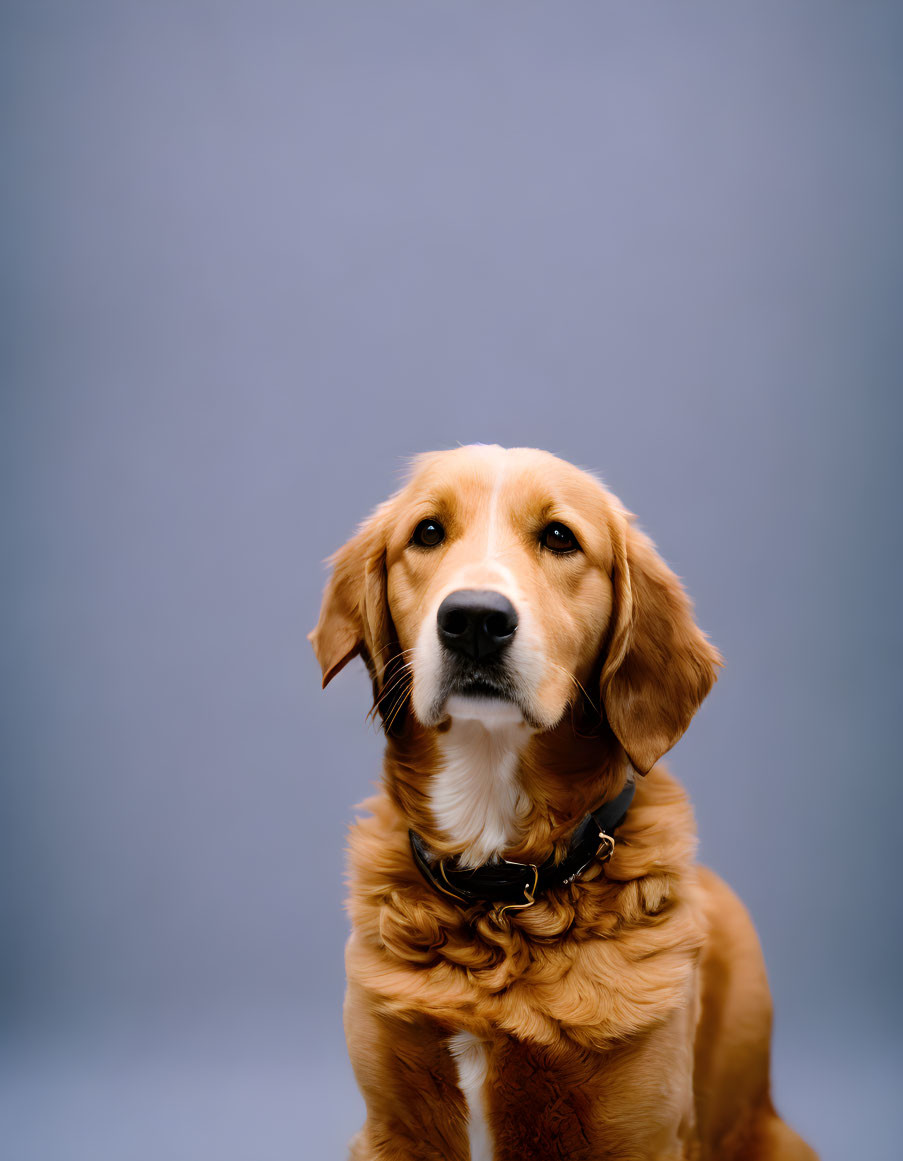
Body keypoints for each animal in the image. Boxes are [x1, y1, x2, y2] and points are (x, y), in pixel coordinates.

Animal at [308, 443, 817, 1161]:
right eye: (427, 532)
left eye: (558, 537)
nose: (474, 619)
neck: (499, 889)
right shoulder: (390, 1129)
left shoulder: (642, 1137)